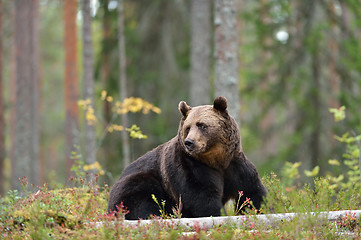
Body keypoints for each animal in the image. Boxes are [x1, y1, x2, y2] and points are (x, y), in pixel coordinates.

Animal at [107, 96, 264, 219]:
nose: (189, 142)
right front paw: (219, 214)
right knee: (142, 197)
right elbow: (202, 197)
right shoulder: (189, 167)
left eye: (202, 125)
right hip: (136, 183)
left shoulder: (235, 166)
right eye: (188, 127)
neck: (216, 160)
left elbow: (252, 192)